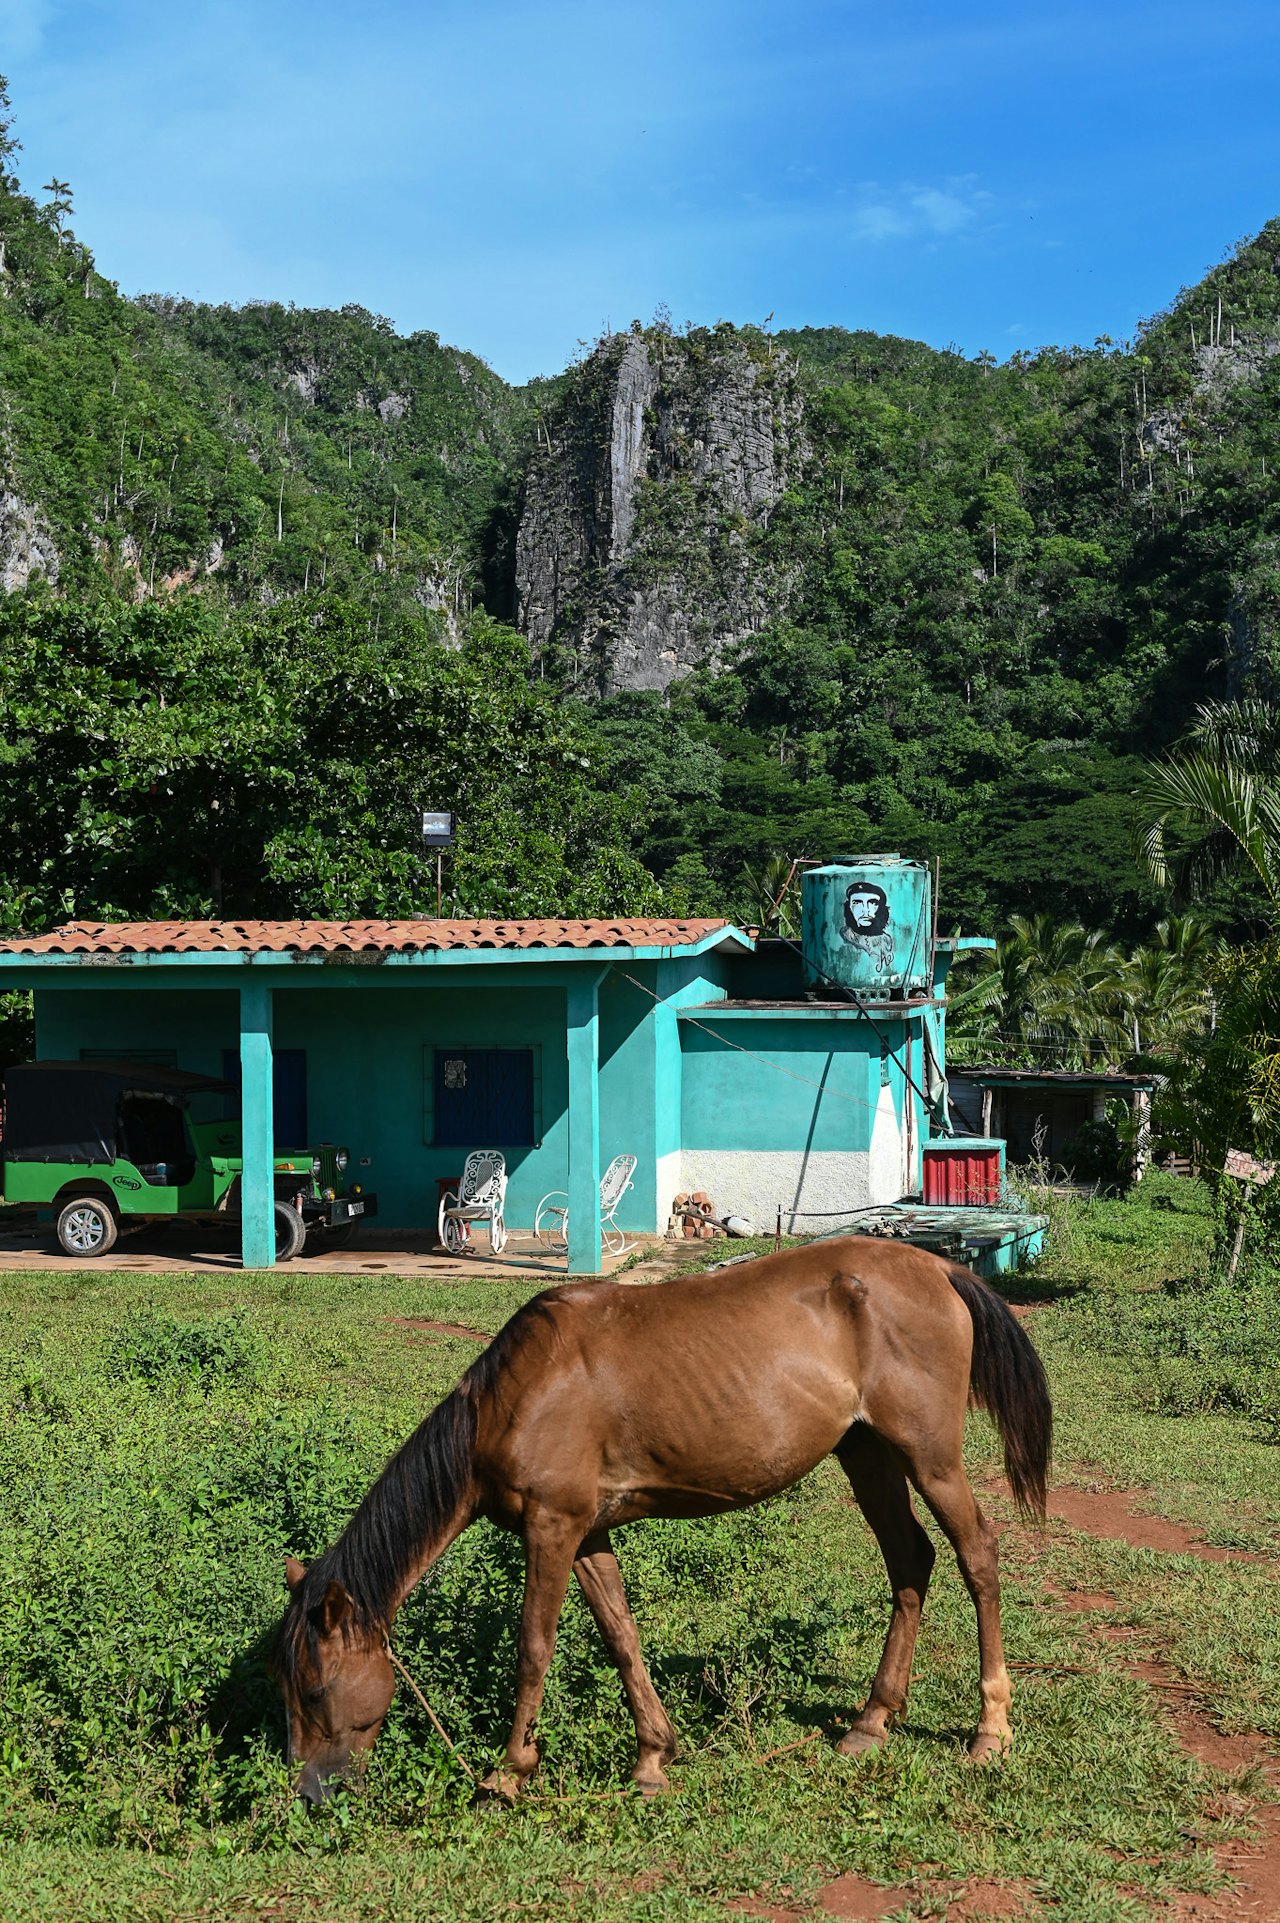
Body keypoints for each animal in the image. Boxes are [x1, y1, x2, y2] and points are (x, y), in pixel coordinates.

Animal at [276, 1230, 1045, 1799]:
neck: (516, 1396)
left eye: (314, 1688)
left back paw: (990, 1730)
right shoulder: (588, 1532)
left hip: (929, 1457)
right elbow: (621, 1637)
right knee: (911, 1559)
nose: (311, 1791)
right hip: (867, 1454)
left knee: (978, 1554)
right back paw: (872, 1720)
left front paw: (508, 1772)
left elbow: (534, 1647)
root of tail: (940, 1269)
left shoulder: (552, 1527)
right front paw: (652, 1757)